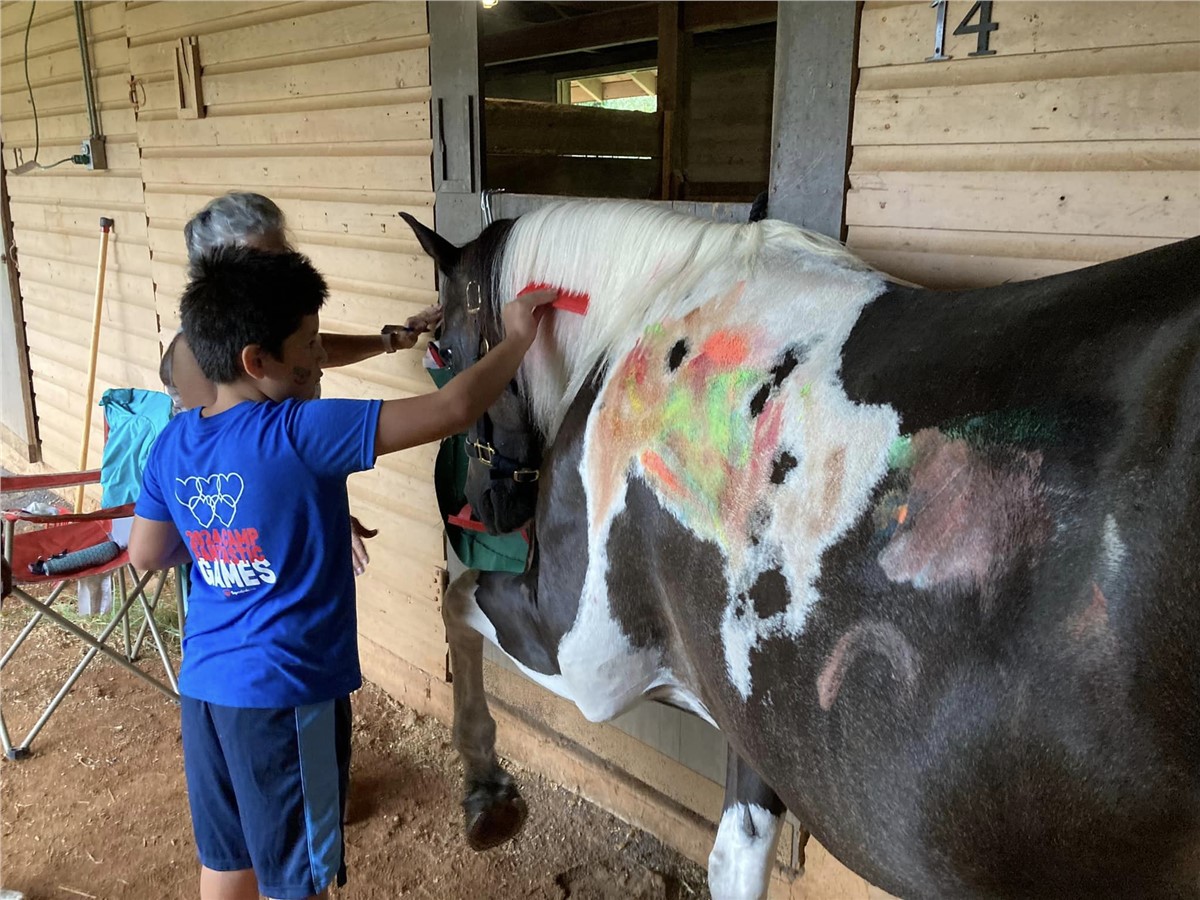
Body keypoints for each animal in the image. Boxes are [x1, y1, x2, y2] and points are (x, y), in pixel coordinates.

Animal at [405, 204, 1200, 900]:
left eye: (443, 349)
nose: (482, 505)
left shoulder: (591, 660)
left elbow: (455, 599)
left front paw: (486, 792)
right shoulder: (756, 708)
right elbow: (735, 860)